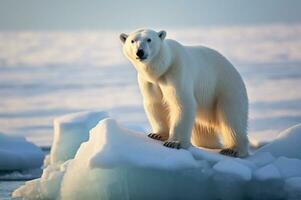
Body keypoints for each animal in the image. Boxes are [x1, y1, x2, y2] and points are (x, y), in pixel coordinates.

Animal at [119, 28, 248, 156]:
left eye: (149, 39)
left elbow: (182, 103)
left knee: (232, 118)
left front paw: (174, 143)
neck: (163, 67)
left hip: (226, 88)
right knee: (203, 131)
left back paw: (233, 149)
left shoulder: (176, 72)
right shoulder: (148, 82)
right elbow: (155, 104)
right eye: (132, 41)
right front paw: (156, 134)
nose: (140, 52)